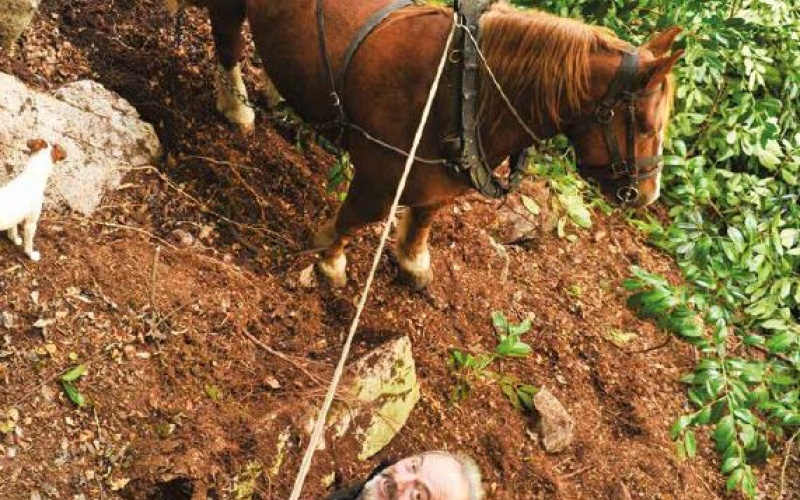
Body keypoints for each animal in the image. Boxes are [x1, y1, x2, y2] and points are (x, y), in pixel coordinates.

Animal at [186, 0, 680, 290]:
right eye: (643, 124)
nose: (649, 194)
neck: (464, 91)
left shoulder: (439, 179)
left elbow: (426, 215)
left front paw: (413, 260)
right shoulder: (380, 177)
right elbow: (354, 219)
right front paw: (330, 261)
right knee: (227, 41)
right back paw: (235, 105)